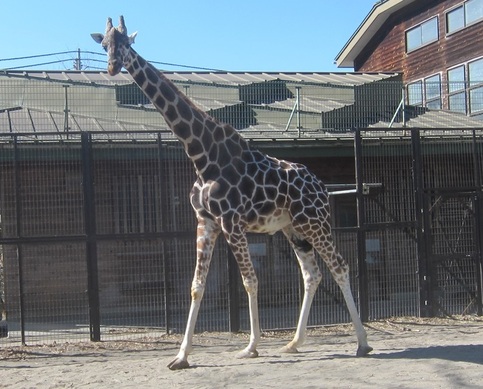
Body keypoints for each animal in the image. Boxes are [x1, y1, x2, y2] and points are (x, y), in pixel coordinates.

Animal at [91, 15, 374, 370]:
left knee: (340, 267)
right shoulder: (206, 222)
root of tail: (322, 186)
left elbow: (250, 281)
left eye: (127, 43)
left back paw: (363, 343)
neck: (201, 155)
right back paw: (294, 343)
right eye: (104, 45)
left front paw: (251, 346)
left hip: (315, 223)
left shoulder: (231, 222)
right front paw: (181, 356)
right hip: (293, 229)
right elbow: (196, 286)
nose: (113, 67)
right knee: (312, 274)